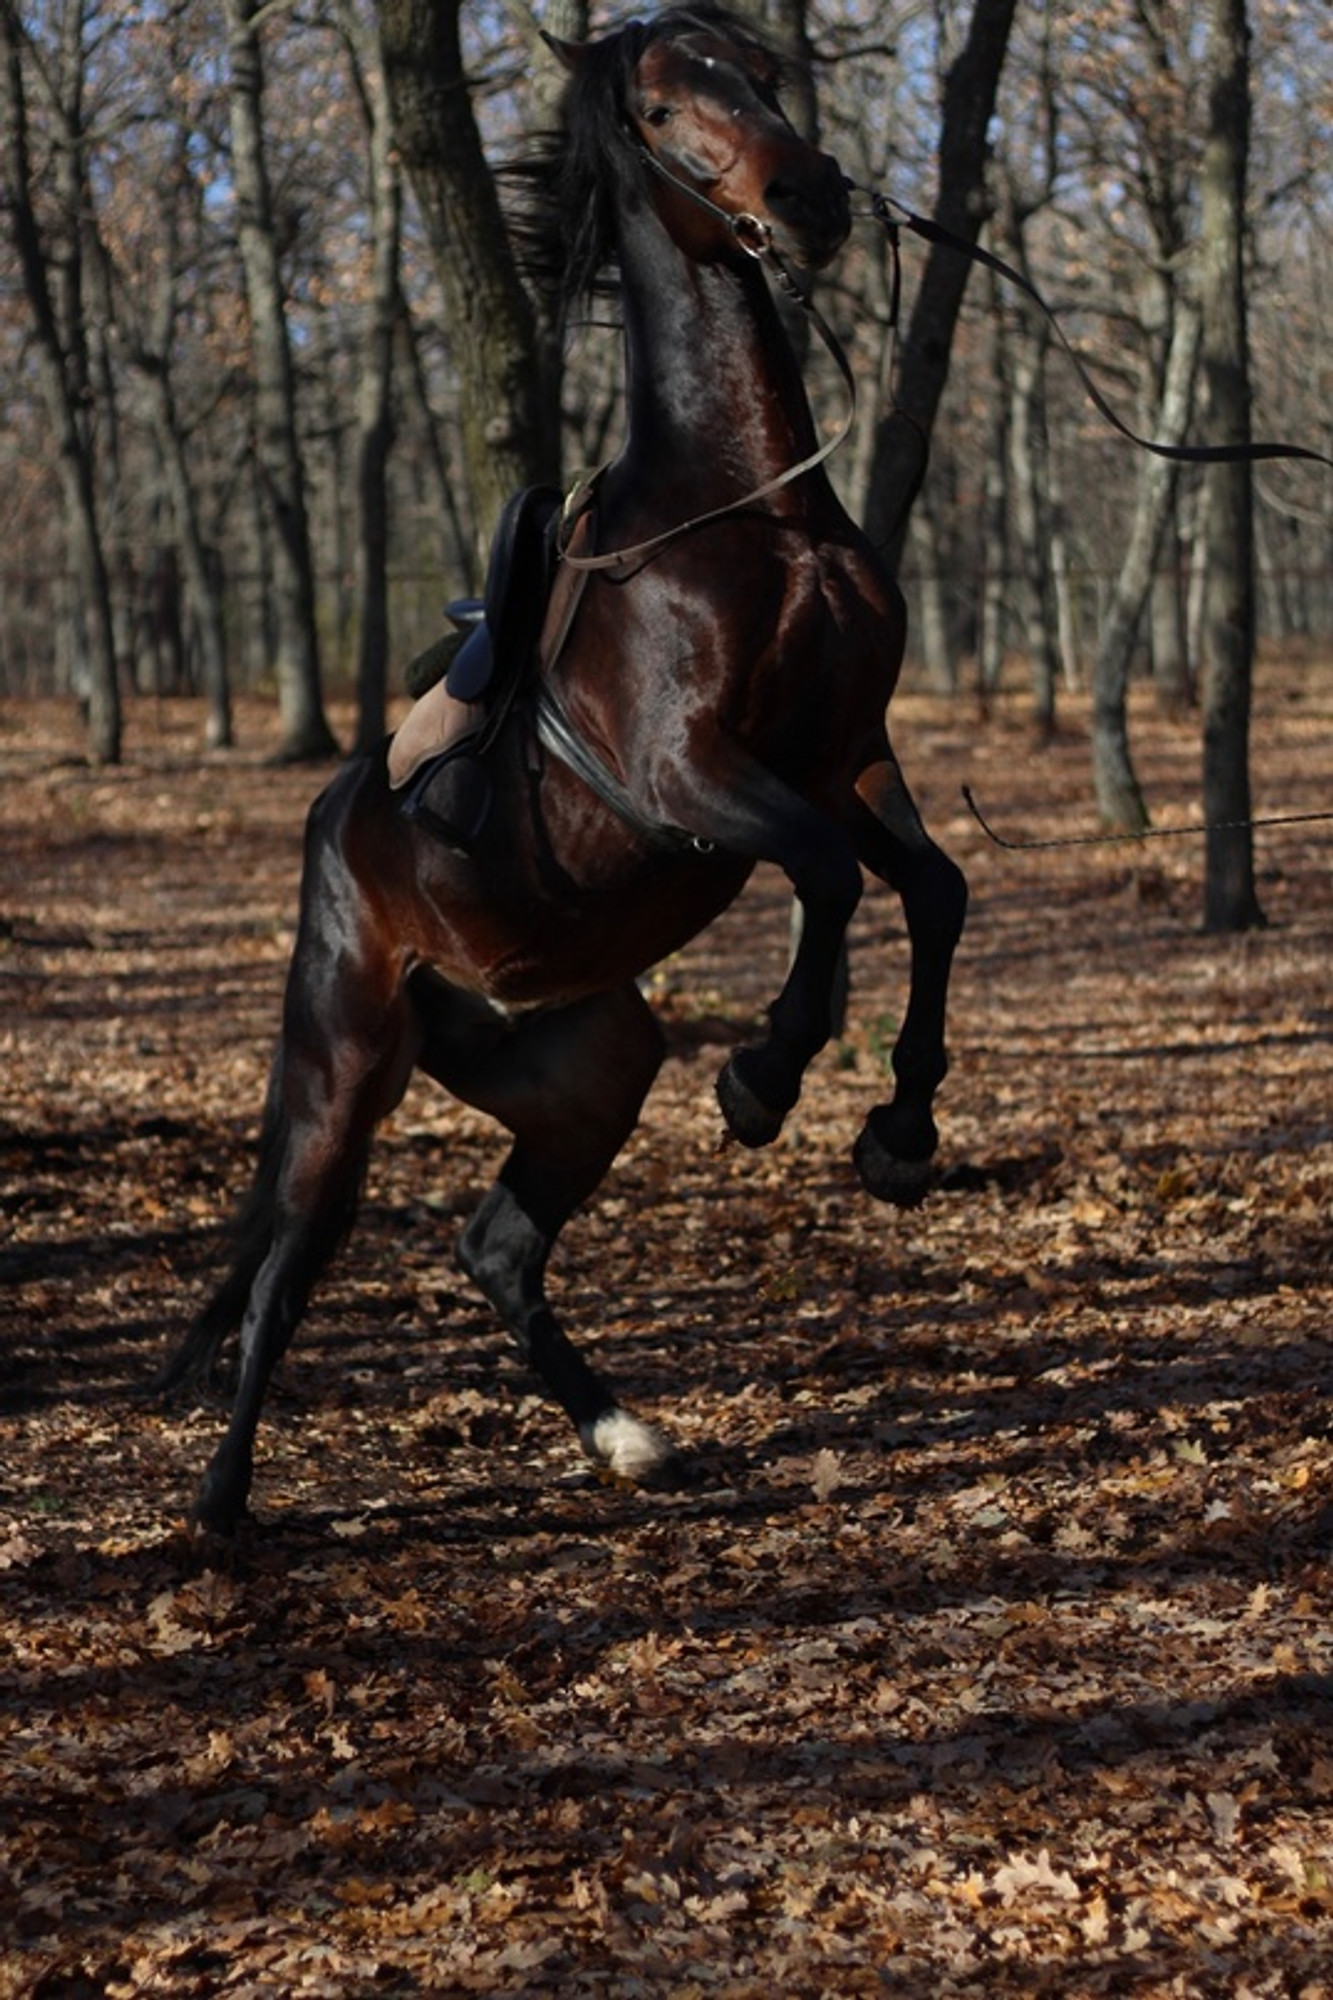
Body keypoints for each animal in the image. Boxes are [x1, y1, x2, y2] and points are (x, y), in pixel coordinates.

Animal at [161, 3, 960, 1528]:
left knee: (495, 1246)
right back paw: (223, 1502)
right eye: (656, 107)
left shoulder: (851, 757)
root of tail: (332, 827)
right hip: (346, 1064)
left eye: (760, 76)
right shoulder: (684, 770)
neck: (752, 514)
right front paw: (765, 1077)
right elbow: (830, 879)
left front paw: (898, 1132)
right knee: (288, 1263)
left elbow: (931, 893)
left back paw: (625, 1432)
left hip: (587, 1070)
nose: (810, 199)